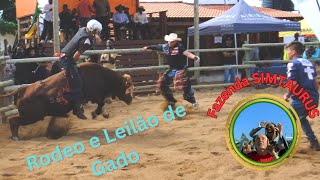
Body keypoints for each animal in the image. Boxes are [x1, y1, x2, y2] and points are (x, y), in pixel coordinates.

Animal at [0, 62, 132, 141]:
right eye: (127, 88)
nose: (130, 100)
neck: (102, 76)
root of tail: (22, 90)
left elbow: (102, 103)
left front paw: (104, 113)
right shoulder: (95, 95)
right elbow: (101, 103)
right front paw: (95, 113)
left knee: (14, 121)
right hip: (31, 116)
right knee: (13, 121)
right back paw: (16, 137)